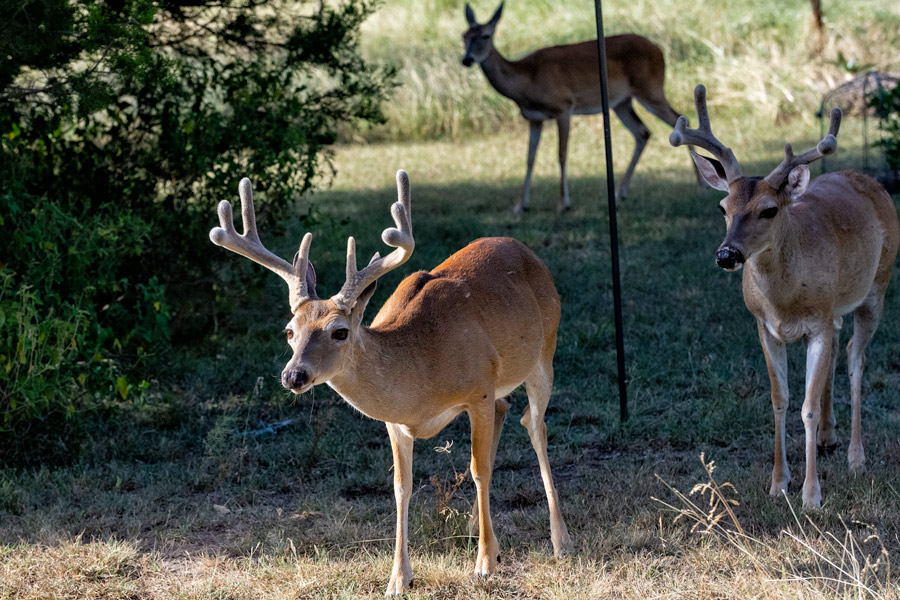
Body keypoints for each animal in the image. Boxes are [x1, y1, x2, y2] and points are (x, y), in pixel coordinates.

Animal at [209, 171, 571, 595]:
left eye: (340, 331)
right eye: (289, 331)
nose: (293, 375)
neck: (421, 373)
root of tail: (528, 251)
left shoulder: (478, 389)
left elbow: (478, 468)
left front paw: (484, 564)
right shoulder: (395, 422)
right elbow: (402, 486)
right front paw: (399, 578)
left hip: (545, 351)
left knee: (535, 425)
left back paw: (560, 540)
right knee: (507, 409)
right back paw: (474, 525)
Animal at [461, 2, 701, 213]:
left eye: (485, 36)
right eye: (463, 36)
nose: (467, 60)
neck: (527, 80)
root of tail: (659, 50)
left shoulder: (563, 107)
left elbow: (561, 154)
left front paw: (563, 204)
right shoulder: (534, 118)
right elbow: (529, 158)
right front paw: (520, 206)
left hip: (650, 89)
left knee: (678, 118)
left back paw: (701, 183)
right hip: (621, 102)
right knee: (642, 132)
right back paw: (620, 192)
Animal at [669, 84, 900, 509]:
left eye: (769, 210)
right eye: (722, 207)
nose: (727, 255)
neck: (786, 302)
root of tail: (868, 179)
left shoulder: (817, 323)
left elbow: (806, 406)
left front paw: (811, 495)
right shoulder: (764, 325)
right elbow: (780, 399)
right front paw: (778, 483)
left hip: (878, 286)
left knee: (856, 360)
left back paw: (856, 457)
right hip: (837, 306)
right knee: (841, 347)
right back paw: (828, 438)